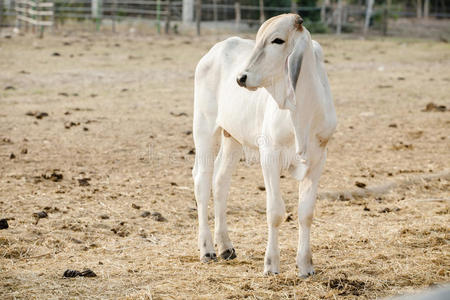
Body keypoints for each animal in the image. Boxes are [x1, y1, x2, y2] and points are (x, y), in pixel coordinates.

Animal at [192, 13, 336, 276]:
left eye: (277, 40)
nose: (241, 77)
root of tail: (215, 49)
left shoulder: (319, 157)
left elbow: (306, 213)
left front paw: (305, 265)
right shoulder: (269, 154)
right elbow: (275, 212)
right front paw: (271, 264)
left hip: (232, 137)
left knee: (220, 181)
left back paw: (225, 246)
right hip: (204, 127)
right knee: (202, 181)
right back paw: (207, 249)